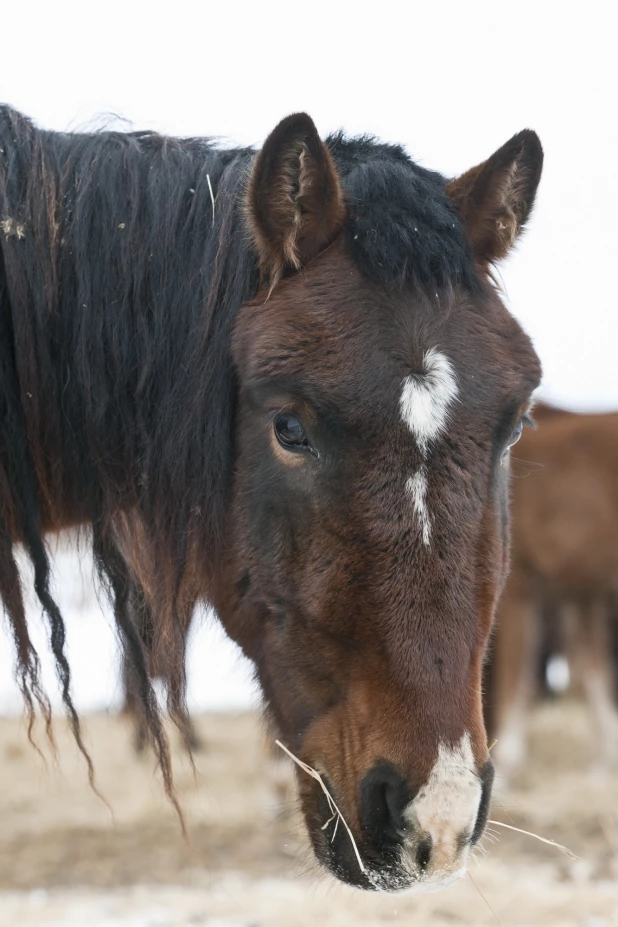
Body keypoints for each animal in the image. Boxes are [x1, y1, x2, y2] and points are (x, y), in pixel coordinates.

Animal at [486, 406, 616, 776]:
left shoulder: (520, 587)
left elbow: (515, 676)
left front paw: (508, 764)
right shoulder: (579, 591)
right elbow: (592, 672)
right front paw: (605, 761)